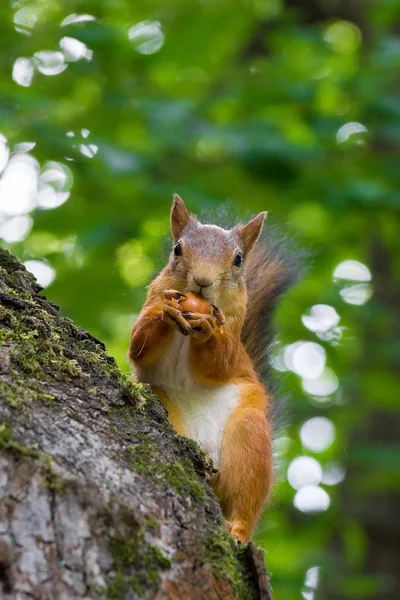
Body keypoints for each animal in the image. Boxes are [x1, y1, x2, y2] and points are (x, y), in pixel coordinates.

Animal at [128, 193, 296, 544]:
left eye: (238, 260)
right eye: (178, 249)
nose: (203, 281)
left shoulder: (233, 342)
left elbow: (218, 365)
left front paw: (206, 328)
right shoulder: (148, 308)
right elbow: (139, 344)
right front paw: (167, 312)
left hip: (249, 437)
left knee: (246, 498)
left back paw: (239, 529)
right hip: (168, 409)